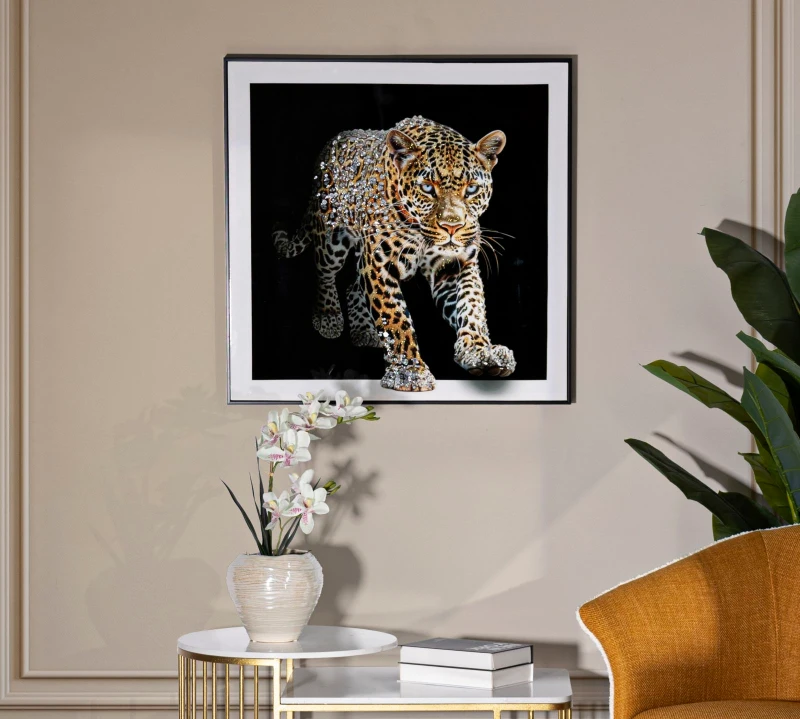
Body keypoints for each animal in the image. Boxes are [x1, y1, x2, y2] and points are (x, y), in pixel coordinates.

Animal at [273, 115, 517, 392]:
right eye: (427, 188)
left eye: (472, 189)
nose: (452, 226)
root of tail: (333, 142)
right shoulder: (379, 263)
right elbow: (395, 318)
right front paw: (409, 372)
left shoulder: (455, 264)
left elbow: (471, 305)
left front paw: (480, 353)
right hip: (330, 236)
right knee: (324, 273)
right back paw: (328, 316)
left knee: (353, 285)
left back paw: (365, 331)